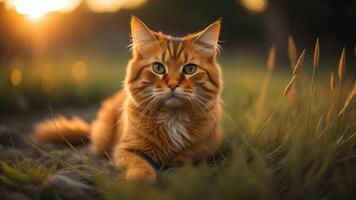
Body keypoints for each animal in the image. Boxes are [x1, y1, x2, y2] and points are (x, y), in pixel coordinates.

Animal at [33, 16, 222, 183]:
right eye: (158, 68)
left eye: (190, 69)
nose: (173, 85)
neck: (172, 118)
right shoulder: (125, 149)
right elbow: (139, 163)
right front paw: (142, 178)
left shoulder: (204, 149)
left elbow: (186, 157)